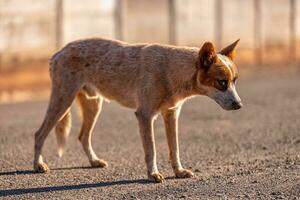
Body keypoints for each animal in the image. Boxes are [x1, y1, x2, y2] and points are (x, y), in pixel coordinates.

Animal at [34, 37, 243, 183]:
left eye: (234, 81)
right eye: (222, 82)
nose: (240, 105)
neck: (172, 70)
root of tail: (58, 52)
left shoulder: (171, 114)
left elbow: (174, 148)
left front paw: (178, 171)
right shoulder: (145, 115)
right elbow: (151, 150)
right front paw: (153, 174)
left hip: (93, 105)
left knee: (83, 136)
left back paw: (94, 161)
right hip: (62, 101)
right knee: (39, 134)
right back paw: (38, 165)